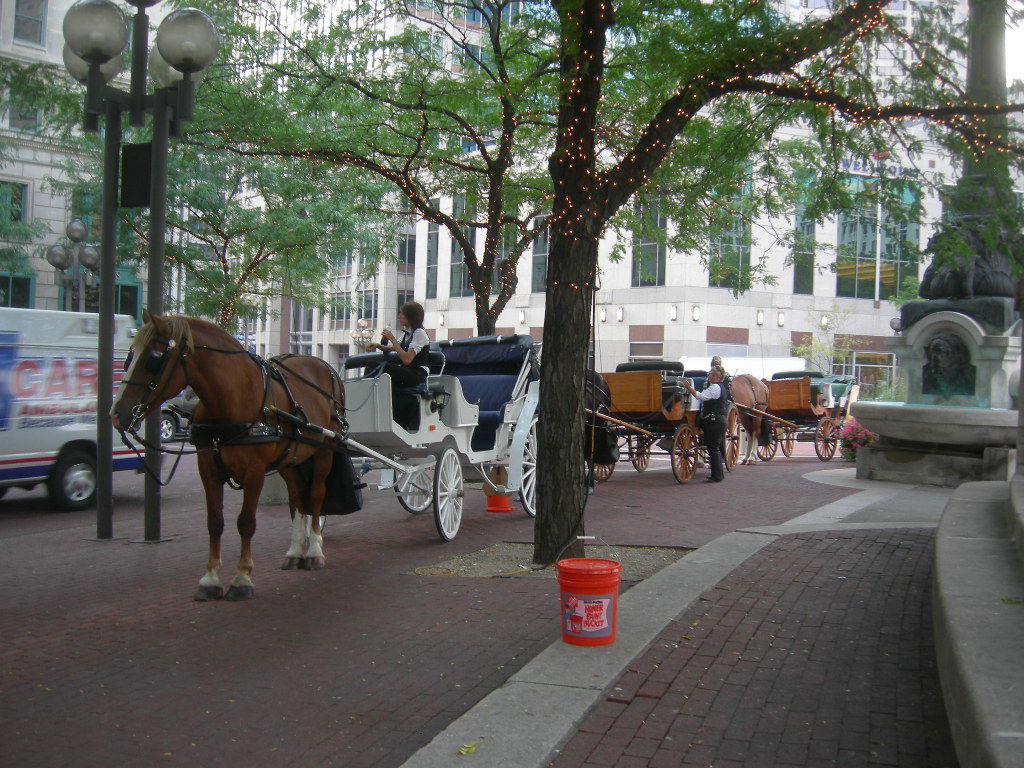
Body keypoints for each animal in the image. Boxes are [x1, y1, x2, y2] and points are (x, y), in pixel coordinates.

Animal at [110, 311, 346, 602]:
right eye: (130, 355)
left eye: (154, 358)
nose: (116, 413)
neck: (231, 399)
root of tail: (325, 365)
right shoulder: (209, 471)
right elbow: (215, 522)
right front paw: (210, 579)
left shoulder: (254, 472)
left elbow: (246, 522)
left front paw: (242, 578)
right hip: (291, 458)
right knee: (297, 496)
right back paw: (294, 551)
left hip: (324, 451)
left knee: (315, 496)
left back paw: (313, 551)